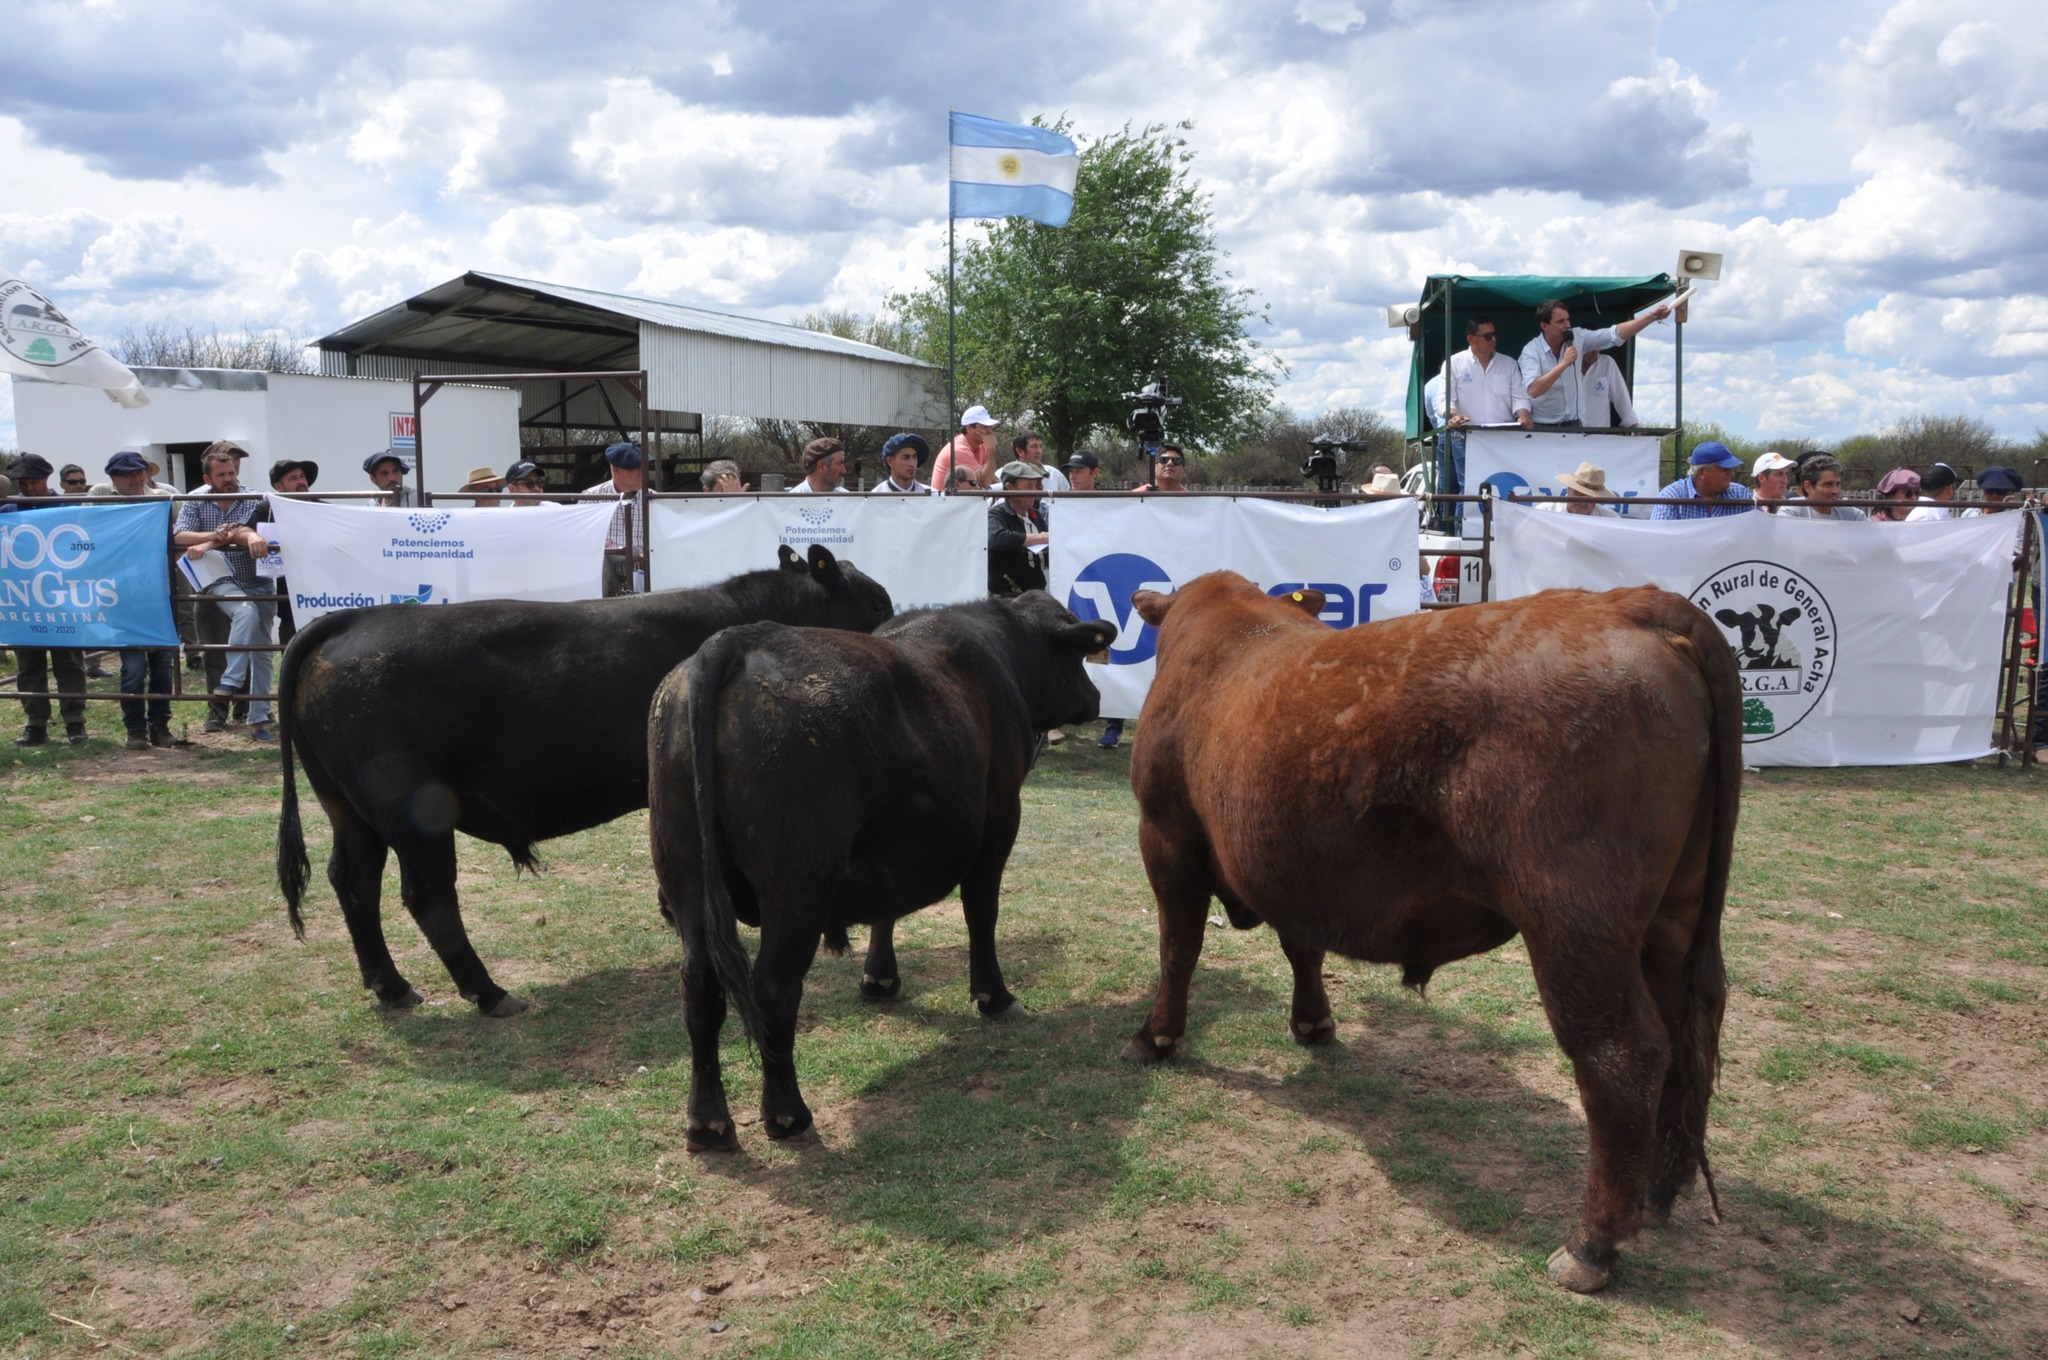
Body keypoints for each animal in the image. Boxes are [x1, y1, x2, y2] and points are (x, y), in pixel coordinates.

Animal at [280, 540, 897, 1007]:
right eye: (875, 602)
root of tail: (352, 619)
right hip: (414, 812)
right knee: (427, 895)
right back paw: (488, 992)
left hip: (346, 808)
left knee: (353, 879)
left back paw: (390, 985)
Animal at [647, 593, 1114, 1146]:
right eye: (1079, 657)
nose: (1096, 698)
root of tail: (737, 639)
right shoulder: (1001, 814)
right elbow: (981, 912)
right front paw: (994, 996)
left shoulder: (890, 845)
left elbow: (885, 908)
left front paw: (880, 979)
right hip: (796, 883)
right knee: (773, 988)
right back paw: (787, 1113)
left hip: (686, 876)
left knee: (700, 985)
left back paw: (708, 1121)